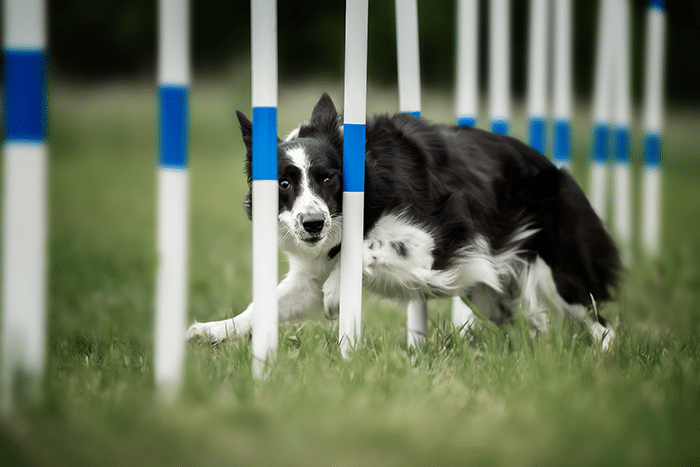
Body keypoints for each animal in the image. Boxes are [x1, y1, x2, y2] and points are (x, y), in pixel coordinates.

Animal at [185, 95, 616, 350]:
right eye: (285, 183)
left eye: (328, 178)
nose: (312, 224)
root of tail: (559, 172)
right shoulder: (308, 273)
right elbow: (264, 305)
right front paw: (210, 331)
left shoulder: (435, 243)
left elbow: (368, 247)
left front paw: (338, 290)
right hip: (487, 292)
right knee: (533, 320)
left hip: (560, 274)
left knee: (600, 320)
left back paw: (604, 362)